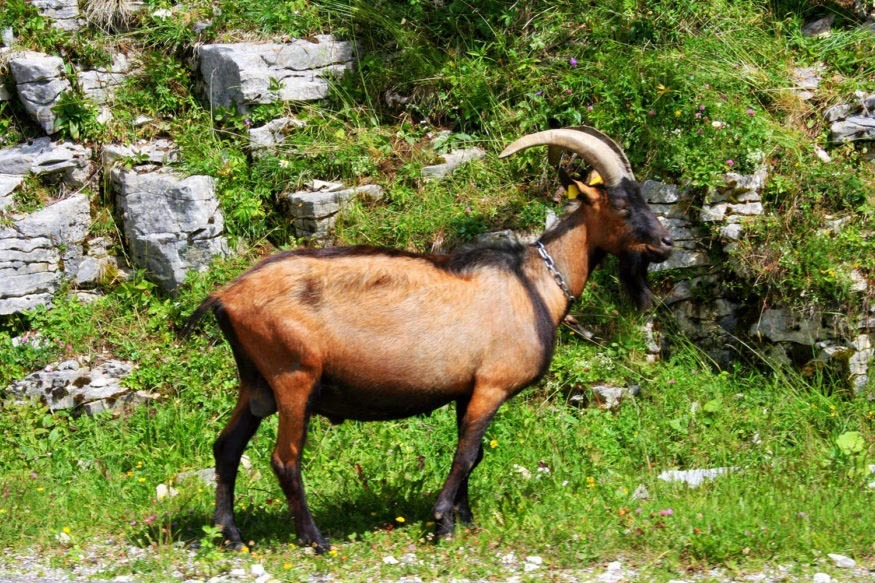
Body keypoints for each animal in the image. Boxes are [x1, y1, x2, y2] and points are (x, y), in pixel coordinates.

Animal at [183, 126, 676, 552]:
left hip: (256, 381)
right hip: (293, 376)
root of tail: (225, 296)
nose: (666, 243)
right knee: (285, 458)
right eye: (624, 207)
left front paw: (465, 519)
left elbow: (472, 453)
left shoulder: (467, 389)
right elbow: (467, 453)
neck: (533, 284)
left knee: (226, 447)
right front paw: (441, 521)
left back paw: (231, 536)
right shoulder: (492, 385)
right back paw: (314, 540)